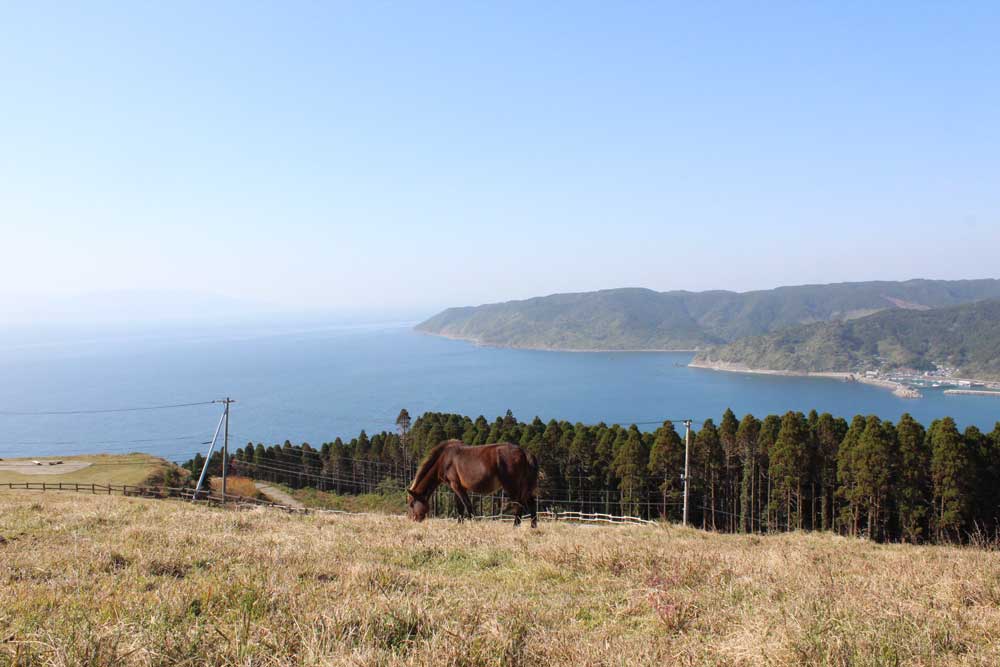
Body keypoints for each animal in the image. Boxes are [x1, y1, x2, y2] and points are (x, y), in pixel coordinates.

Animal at [406, 439, 539, 527]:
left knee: (519, 504)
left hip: (512, 486)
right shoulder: (458, 487)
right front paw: (460, 524)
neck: (444, 459)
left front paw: (472, 524)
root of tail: (524, 452)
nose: (413, 520)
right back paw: (533, 526)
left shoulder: (456, 485)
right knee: (531, 503)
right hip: (524, 487)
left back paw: (516, 526)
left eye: (412, 504)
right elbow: (460, 507)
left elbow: (467, 505)